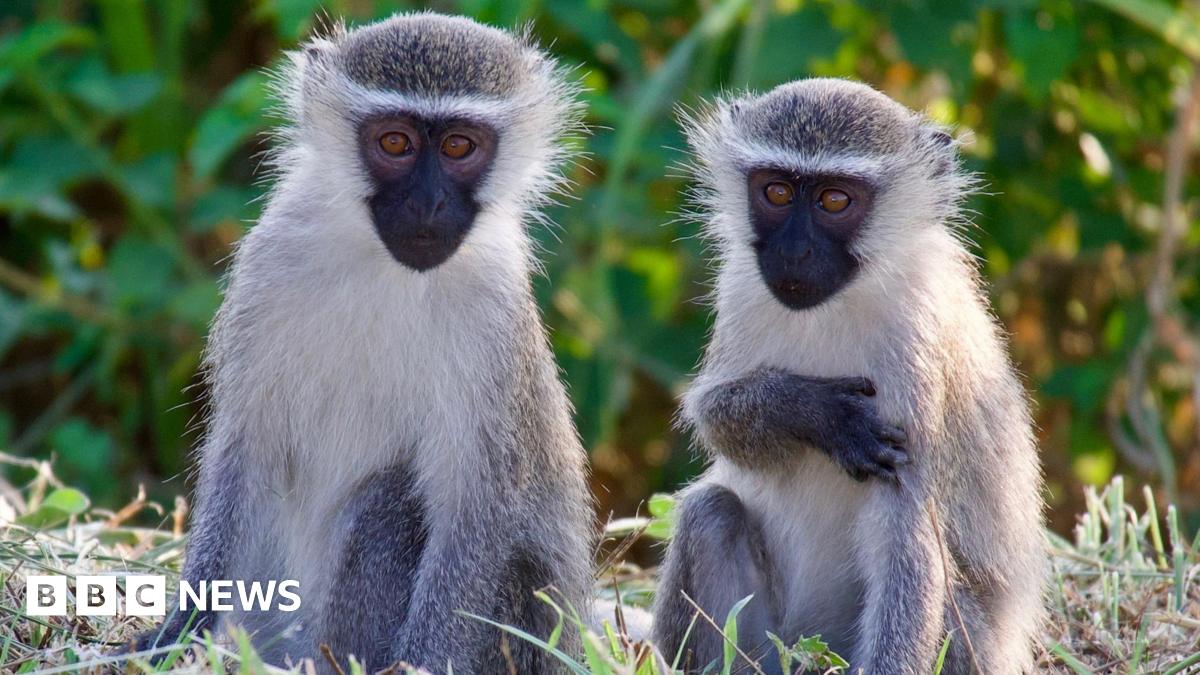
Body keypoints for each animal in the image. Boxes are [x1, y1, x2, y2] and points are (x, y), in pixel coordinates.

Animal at [133, 13, 593, 673]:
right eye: (395, 143)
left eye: (459, 147)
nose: (428, 202)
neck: (386, 267)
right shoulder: (267, 267)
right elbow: (246, 449)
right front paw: (181, 630)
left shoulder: (496, 313)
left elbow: (478, 503)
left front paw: (420, 663)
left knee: (392, 500)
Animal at [653, 79, 1046, 675]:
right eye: (776, 192)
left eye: (835, 200)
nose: (794, 252)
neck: (837, 303)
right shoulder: (741, 285)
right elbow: (714, 415)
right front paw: (813, 412)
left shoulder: (916, 339)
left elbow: (905, 528)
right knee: (710, 512)